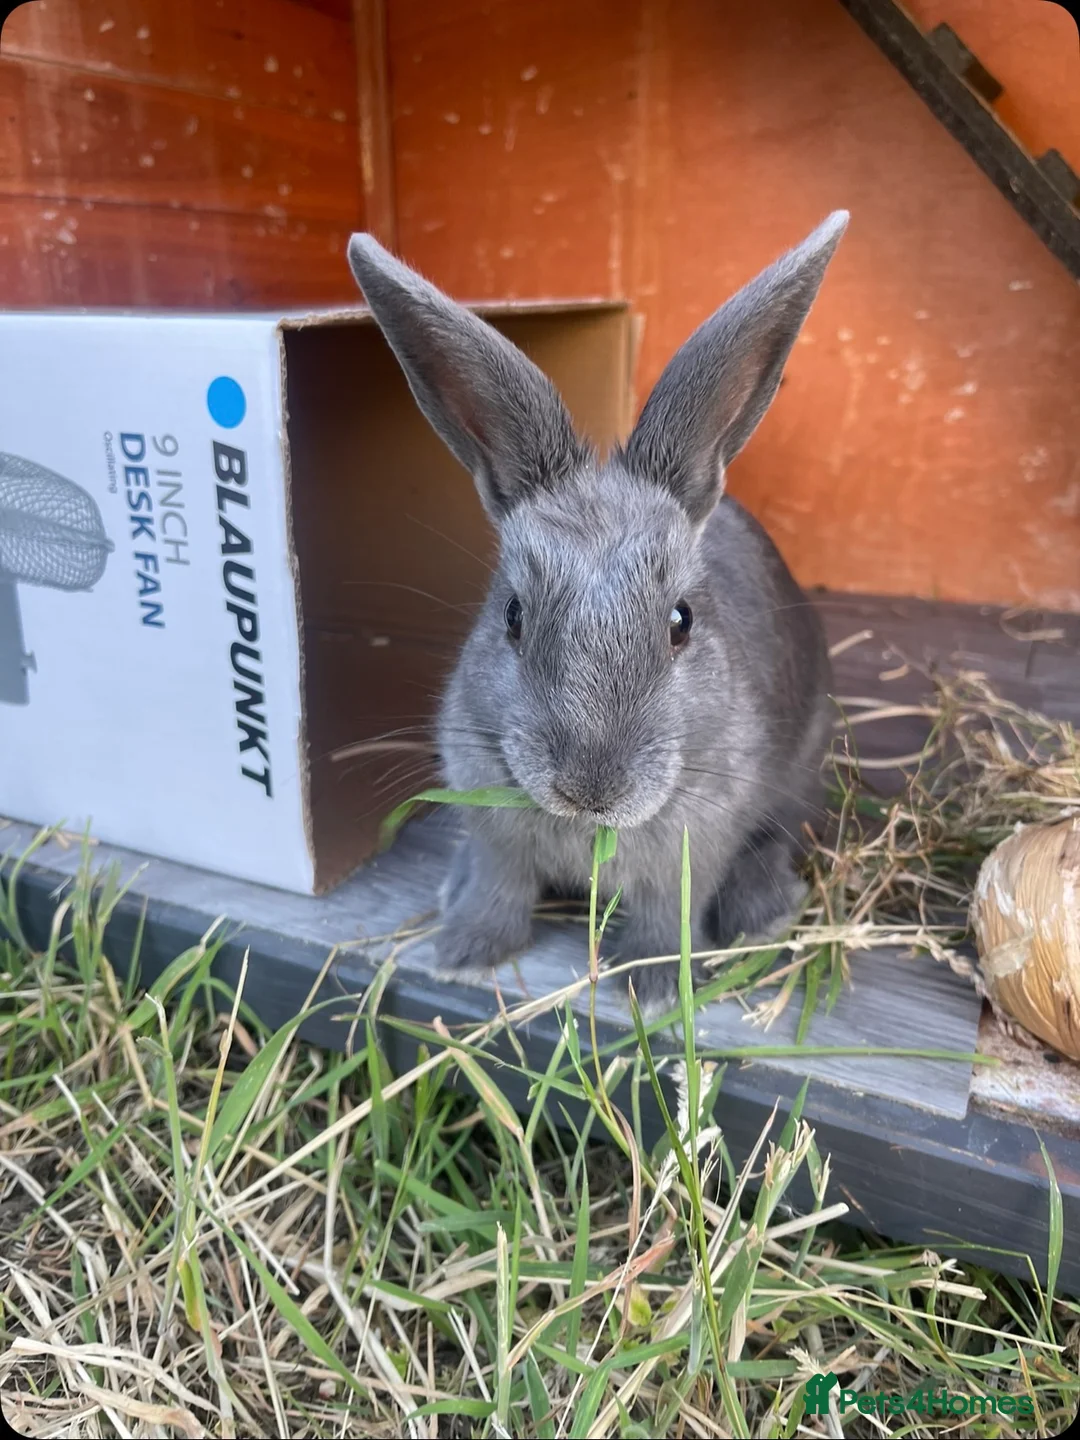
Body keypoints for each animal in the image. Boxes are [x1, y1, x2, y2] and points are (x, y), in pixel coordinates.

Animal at [347, 211, 847, 1013]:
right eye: (513, 616)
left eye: (681, 621)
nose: (589, 787)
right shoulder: (495, 834)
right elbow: (500, 888)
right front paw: (465, 952)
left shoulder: (693, 849)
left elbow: (665, 916)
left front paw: (655, 988)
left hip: (801, 770)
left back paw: (763, 911)